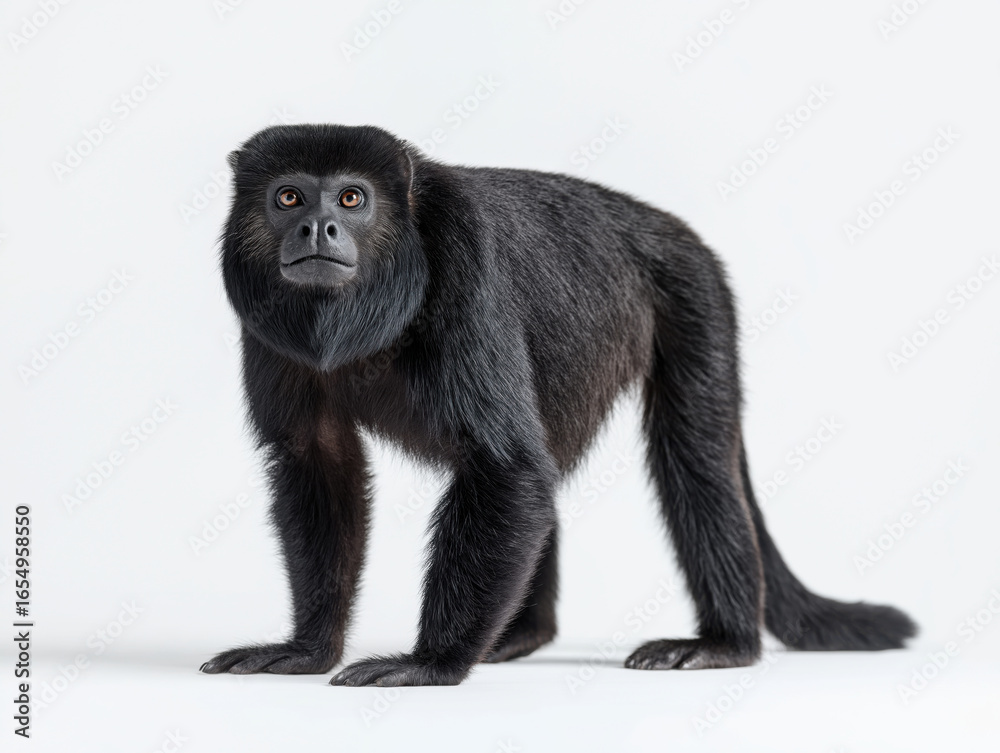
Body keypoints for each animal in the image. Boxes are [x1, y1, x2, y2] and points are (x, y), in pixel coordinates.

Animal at [200, 124, 916, 686]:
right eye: (288, 195)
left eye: (352, 198)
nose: (315, 226)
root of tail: (660, 223)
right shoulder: (265, 327)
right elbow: (316, 458)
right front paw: (306, 650)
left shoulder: (465, 263)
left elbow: (506, 465)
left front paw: (431, 663)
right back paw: (519, 635)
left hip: (695, 291)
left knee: (693, 458)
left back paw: (725, 644)